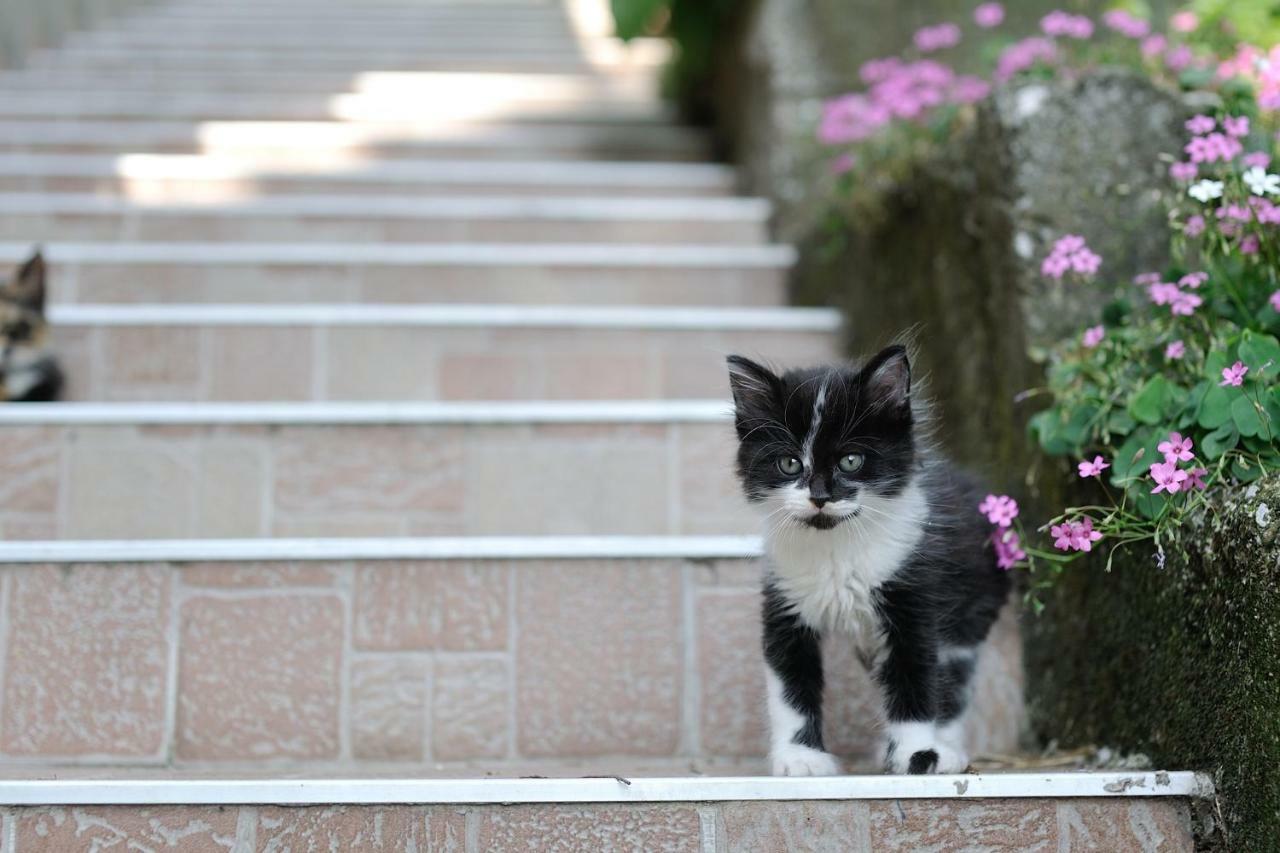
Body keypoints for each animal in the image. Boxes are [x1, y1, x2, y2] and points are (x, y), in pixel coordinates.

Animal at [732, 343, 1008, 773]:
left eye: (851, 461)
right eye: (790, 463)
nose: (820, 496)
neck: (836, 547)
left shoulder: (914, 598)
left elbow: (914, 680)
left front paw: (916, 752)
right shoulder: (784, 605)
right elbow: (791, 687)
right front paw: (800, 757)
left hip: (969, 615)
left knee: (951, 682)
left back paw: (944, 749)